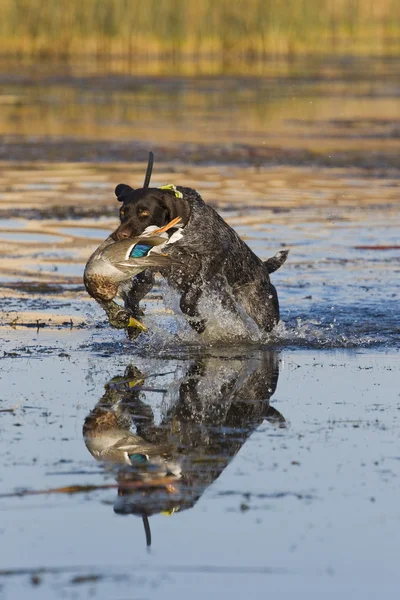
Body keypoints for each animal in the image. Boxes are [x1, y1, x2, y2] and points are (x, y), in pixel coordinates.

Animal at [112, 182, 288, 332]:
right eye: (122, 213)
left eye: (144, 213)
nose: (120, 235)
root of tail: (264, 268)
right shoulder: (148, 273)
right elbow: (131, 298)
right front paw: (133, 320)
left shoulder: (212, 258)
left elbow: (188, 299)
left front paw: (197, 323)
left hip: (263, 312)